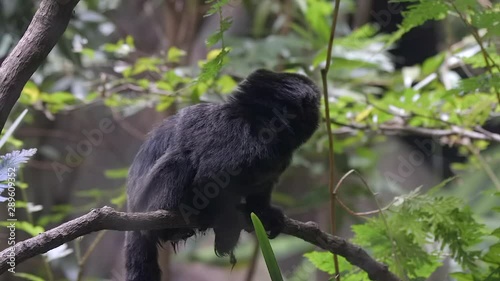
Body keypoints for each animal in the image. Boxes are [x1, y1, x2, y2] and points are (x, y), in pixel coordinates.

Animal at [125, 68, 320, 280]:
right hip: (150, 200)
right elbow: (209, 179)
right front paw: (226, 230)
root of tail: (133, 207)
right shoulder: (235, 139)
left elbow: (261, 188)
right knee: (181, 159)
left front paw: (262, 212)